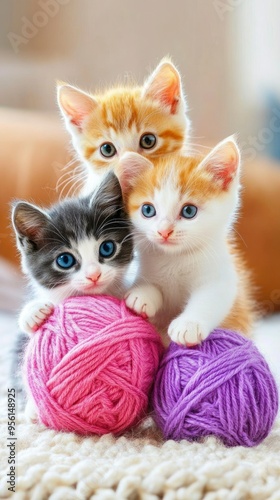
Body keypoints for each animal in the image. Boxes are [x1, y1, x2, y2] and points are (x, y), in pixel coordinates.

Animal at [117, 138, 255, 348]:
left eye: (189, 211)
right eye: (148, 210)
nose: (164, 231)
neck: (176, 259)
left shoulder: (221, 278)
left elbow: (209, 298)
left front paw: (188, 325)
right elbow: (148, 283)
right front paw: (141, 294)